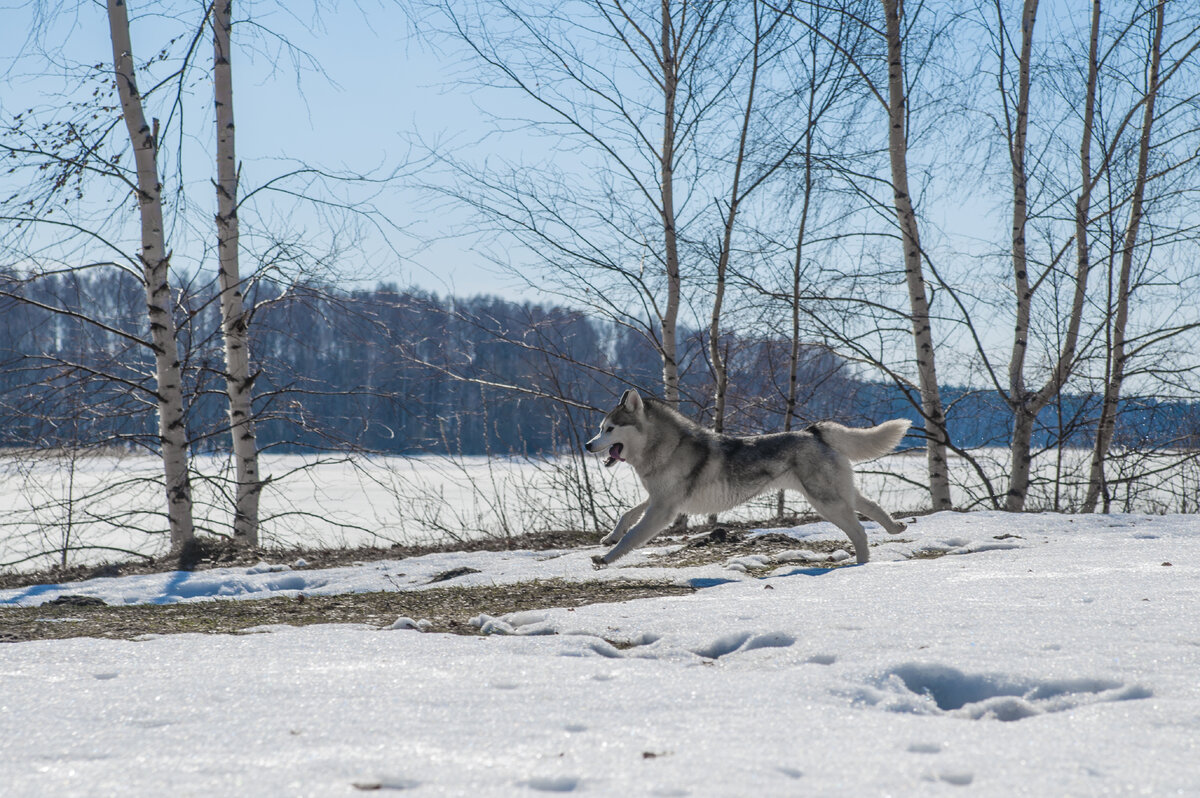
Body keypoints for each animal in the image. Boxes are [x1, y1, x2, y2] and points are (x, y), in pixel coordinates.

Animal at [583, 386, 907, 564]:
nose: (587, 445)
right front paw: (610, 538)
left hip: (826, 503)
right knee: (870, 507)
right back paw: (894, 528)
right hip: (837, 494)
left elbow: (633, 536)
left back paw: (860, 565)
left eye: (609, 429)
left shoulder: (663, 509)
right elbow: (627, 515)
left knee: (859, 531)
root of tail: (812, 431)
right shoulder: (659, 500)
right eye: (600, 428)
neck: (666, 447)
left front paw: (606, 559)